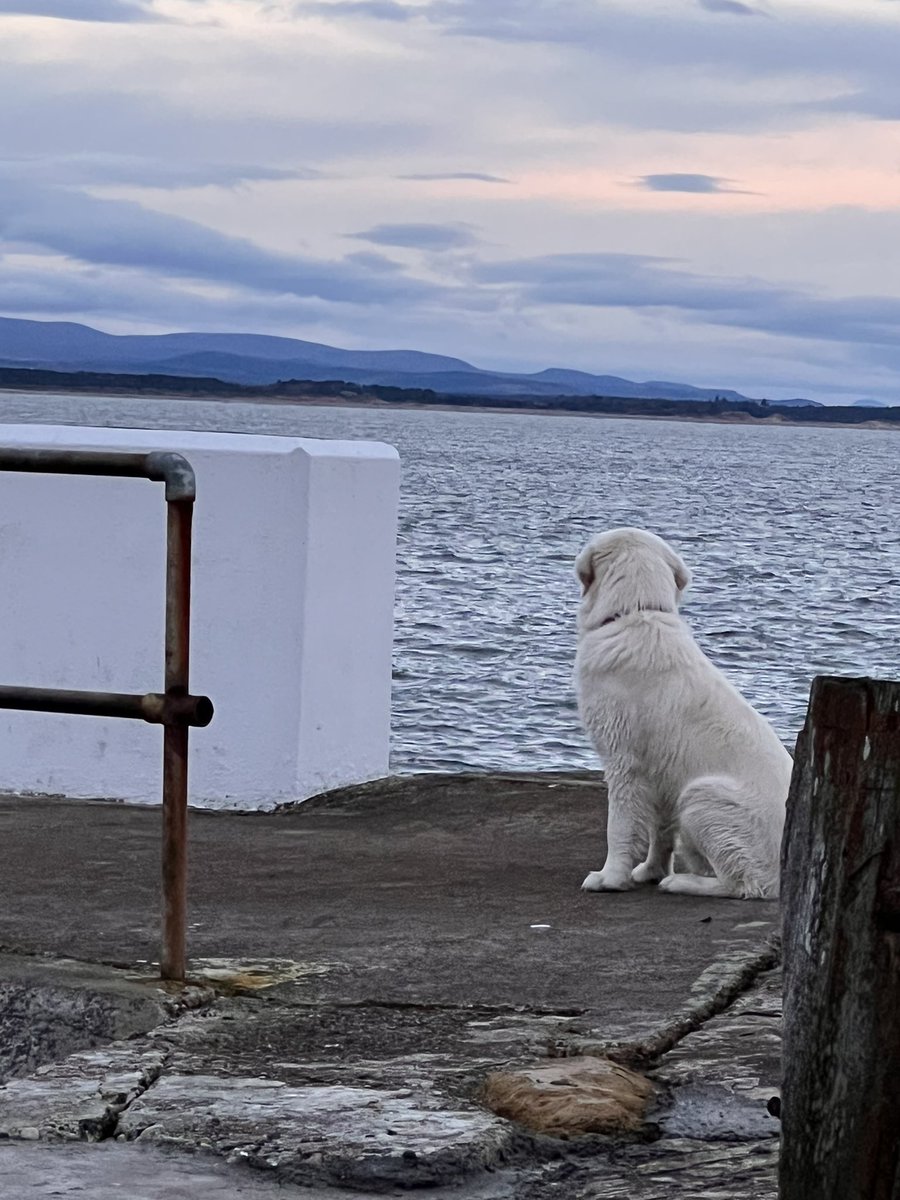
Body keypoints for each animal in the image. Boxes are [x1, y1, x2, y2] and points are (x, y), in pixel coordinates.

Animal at [573, 528, 792, 902]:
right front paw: (650, 870)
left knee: (747, 884)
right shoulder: (661, 771)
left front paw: (610, 878)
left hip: (703, 796)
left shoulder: (624, 762)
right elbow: (660, 830)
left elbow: (619, 826)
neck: (636, 612)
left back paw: (683, 882)